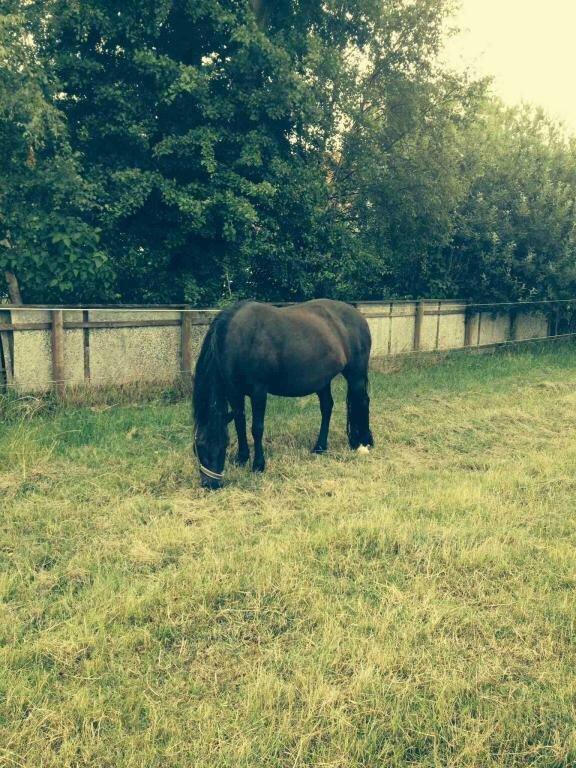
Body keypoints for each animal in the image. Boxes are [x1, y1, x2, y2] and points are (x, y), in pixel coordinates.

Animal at [192, 299, 374, 489]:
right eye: (198, 445)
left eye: (221, 444)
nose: (210, 484)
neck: (240, 339)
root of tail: (358, 316)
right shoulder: (234, 392)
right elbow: (239, 424)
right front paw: (242, 458)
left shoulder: (259, 392)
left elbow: (256, 428)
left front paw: (258, 465)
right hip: (323, 380)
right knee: (327, 407)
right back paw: (320, 447)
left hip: (355, 374)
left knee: (362, 402)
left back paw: (363, 443)